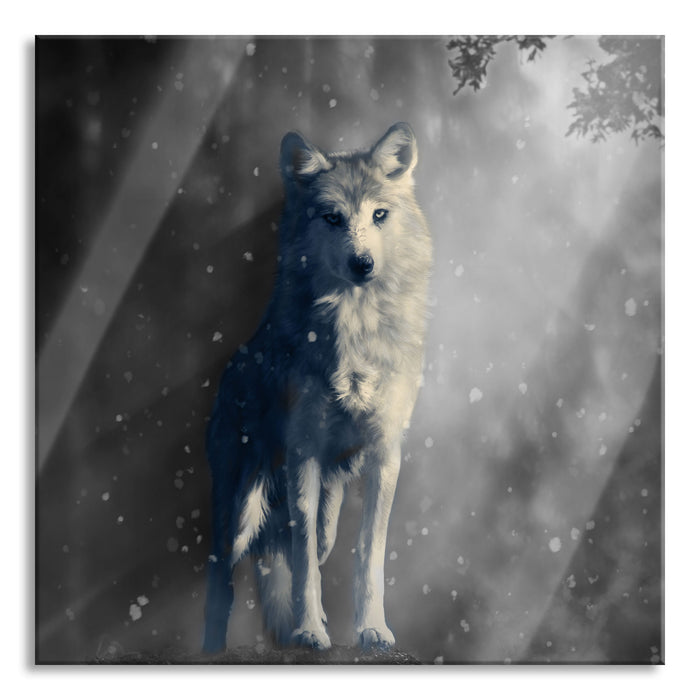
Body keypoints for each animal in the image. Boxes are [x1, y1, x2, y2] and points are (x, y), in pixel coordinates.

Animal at [202, 122, 432, 654]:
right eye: (333, 218)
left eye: (379, 215)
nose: (362, 263)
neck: (357, 330)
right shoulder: (303, 452)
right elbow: (305, 560)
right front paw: (310, 632)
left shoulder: (385, 454)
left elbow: (369, 555)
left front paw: (373, 630)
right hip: (239, 516)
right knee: (223, 580)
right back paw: (216, 648)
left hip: (321, 507)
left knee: (300, 550)